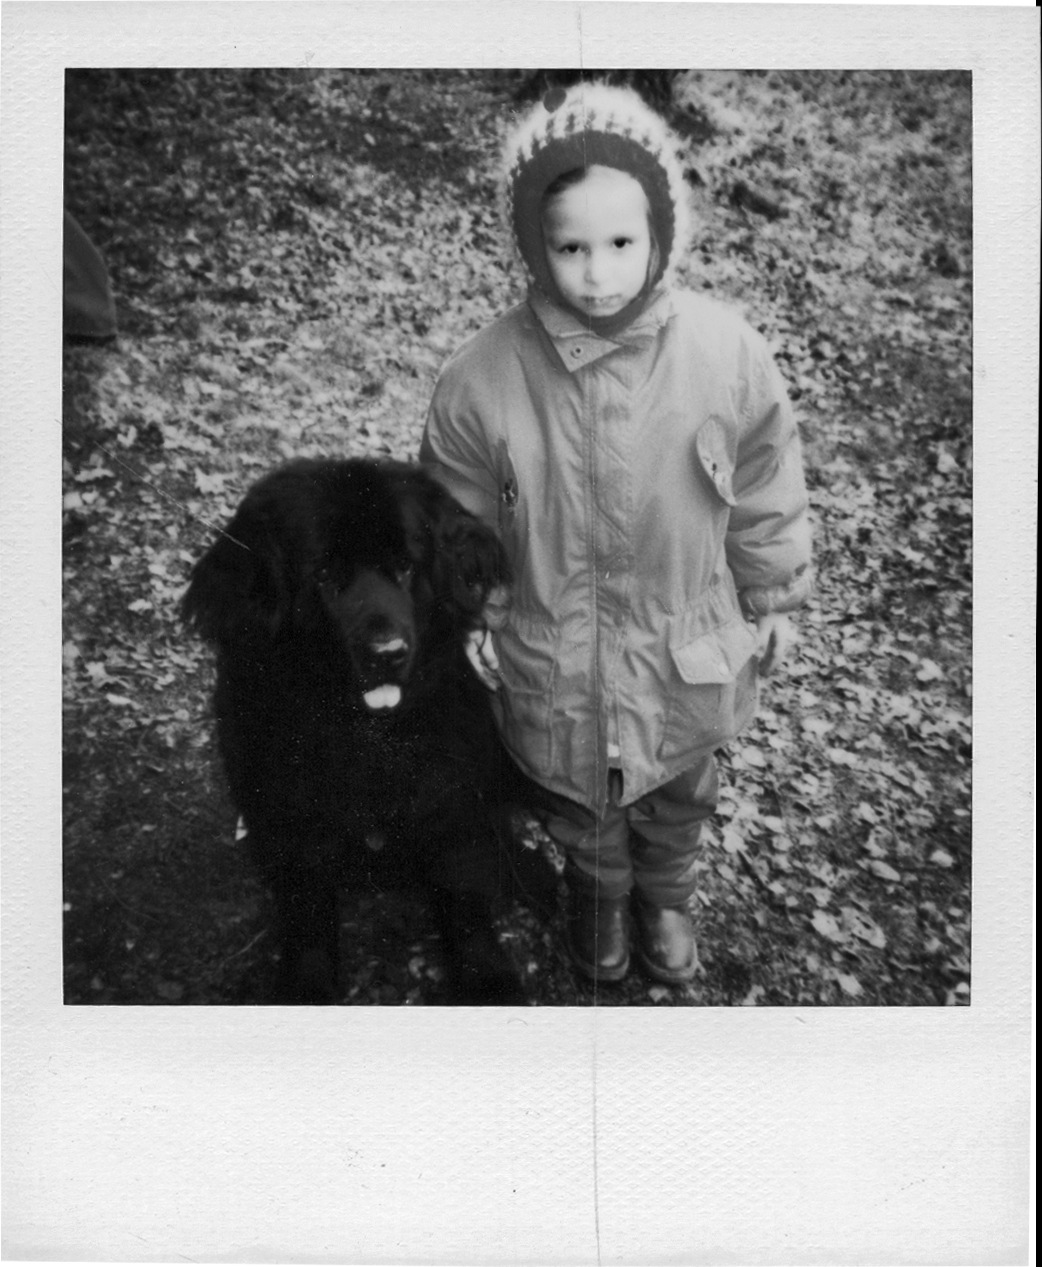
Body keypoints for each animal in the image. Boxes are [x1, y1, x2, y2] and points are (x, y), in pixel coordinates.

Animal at [184, 457, 549, 1004]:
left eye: (405, 567)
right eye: (325, 576)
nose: (387, 653)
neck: (366, 737)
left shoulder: (453, 804)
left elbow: (465, 896)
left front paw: (488, 980)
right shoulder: (291, 823)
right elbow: (308, 914)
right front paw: (307, 986)